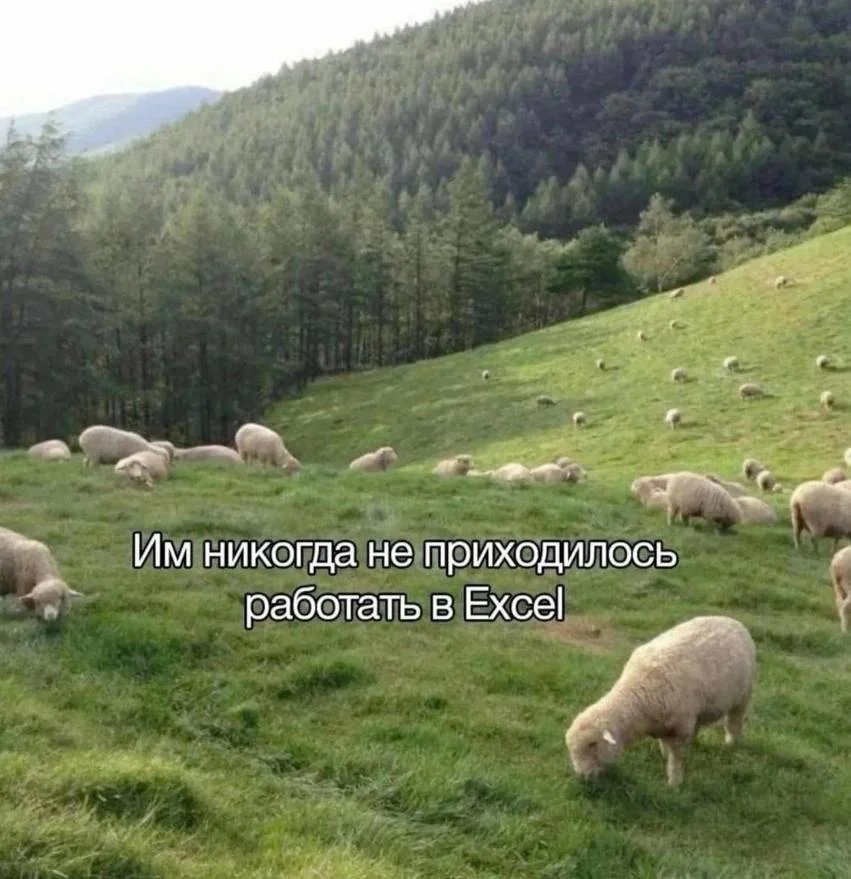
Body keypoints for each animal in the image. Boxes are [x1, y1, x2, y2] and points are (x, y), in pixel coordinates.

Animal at [565, 615, 756, 787]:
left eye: (592, 744)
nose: (582, 777)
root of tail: (733, 620)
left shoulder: (679, 729)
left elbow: (676, 759)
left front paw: (674, 783)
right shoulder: (666, 725)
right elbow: (665, 745)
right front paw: (664, 755)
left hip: (743, 695)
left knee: (734, 722)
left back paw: (730, 744)